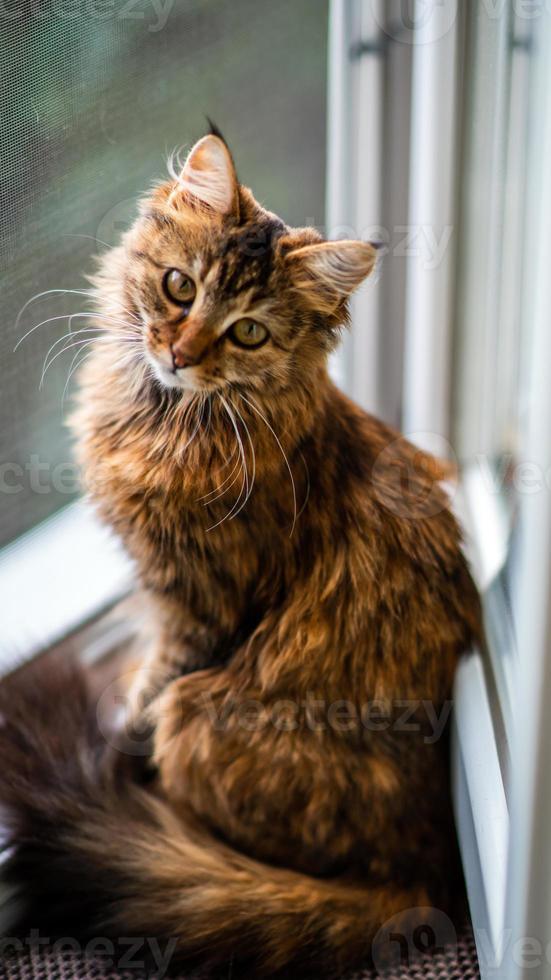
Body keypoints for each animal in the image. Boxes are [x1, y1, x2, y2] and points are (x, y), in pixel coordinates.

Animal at [0, 130, 484, 980]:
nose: (179, 352)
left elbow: (143, 698)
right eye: (178, 287)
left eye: (248, 332)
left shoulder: (195, 606)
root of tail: (426, 875)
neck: (164, 418)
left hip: (201, 715)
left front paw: (113, 746)